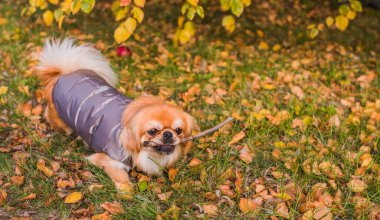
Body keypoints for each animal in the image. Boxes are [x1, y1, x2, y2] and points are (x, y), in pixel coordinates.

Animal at [34, 38, 197, 195]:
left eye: (178, 130)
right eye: (152, 131)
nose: (168, 134)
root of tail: (63, 73)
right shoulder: (106, 159)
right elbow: (121, 175)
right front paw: (127, 191)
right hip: (61, 122)